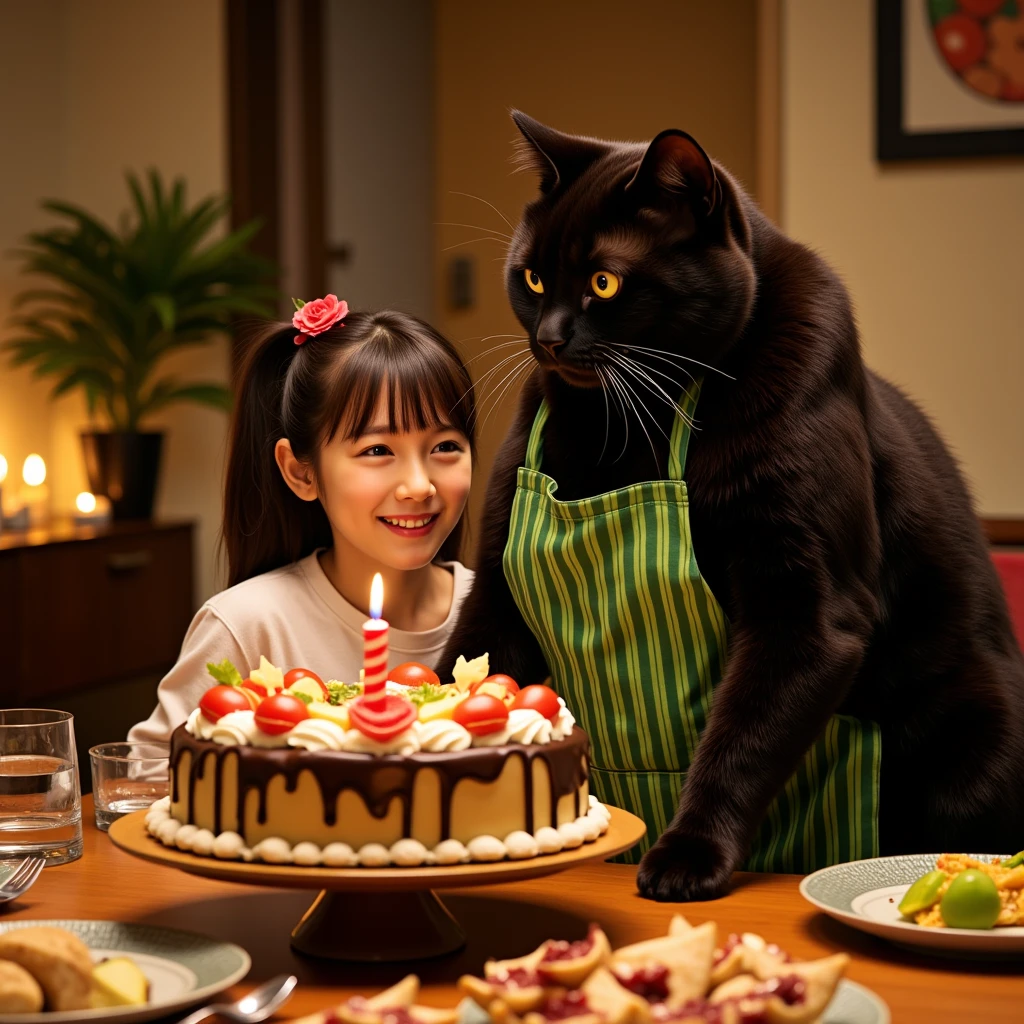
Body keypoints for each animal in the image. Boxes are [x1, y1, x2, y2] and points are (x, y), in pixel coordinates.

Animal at [442, 108, 1024, 901]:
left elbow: (739, 739)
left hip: (978, 731)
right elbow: (462, 652)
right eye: (531, 277)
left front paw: (687, 854)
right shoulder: (498, 585)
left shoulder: (807, 612)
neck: (637, 425)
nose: (549, 337)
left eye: (604, 282)